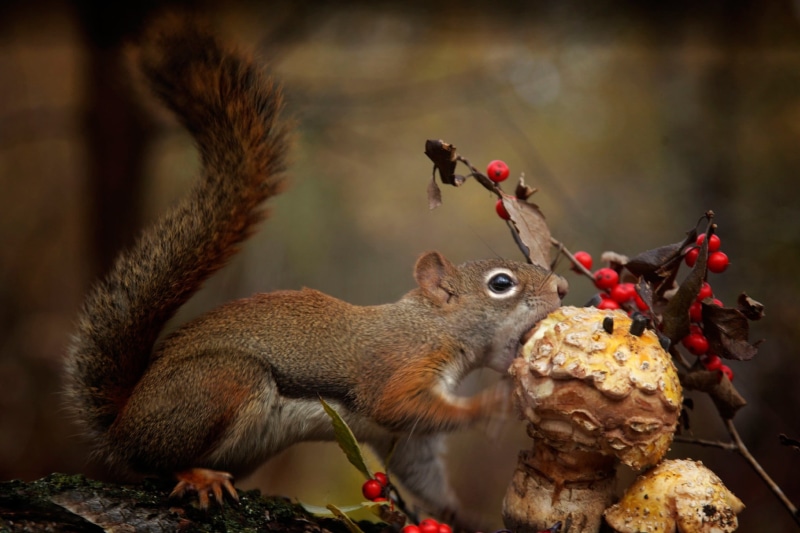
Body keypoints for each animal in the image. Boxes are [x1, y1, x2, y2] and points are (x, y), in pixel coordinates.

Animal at [64, 15, 567, 526]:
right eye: (501, 284)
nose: (562, 286)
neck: (432, 326)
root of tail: (125, 420)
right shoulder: (399, 367)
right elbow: (400, 404)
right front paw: (493, 404)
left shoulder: (408, 439)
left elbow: (421, 470)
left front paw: (457, 516)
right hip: (222, 383)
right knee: (154, 461)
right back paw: (197, 475)